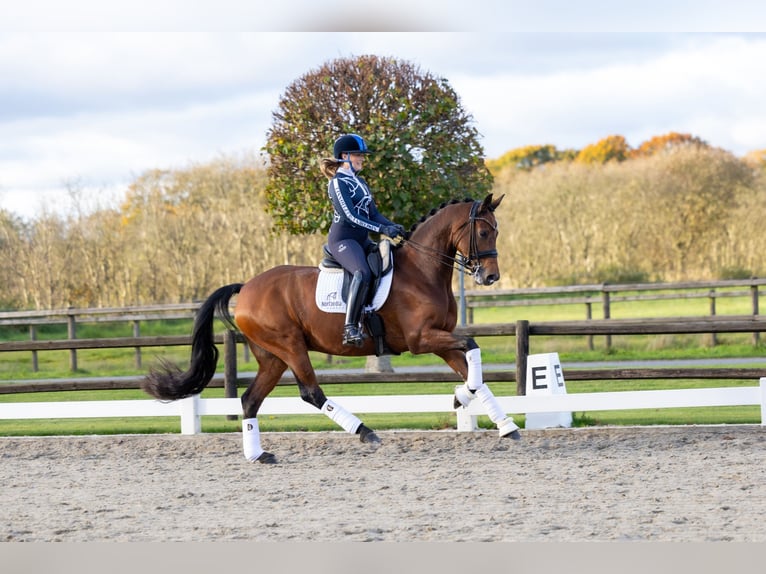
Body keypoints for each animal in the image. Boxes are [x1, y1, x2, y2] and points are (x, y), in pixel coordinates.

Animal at [141, 193, 520, 463]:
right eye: (483, 231)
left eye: (497, 230)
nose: (490, 277)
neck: (422, 271)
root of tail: (246, 287)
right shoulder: (421, 339)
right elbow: (472, 345)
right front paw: (462, 400)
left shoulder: (440, 341)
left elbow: (475, 373)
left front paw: (500, 422)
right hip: (291, 346)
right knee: (311, 393)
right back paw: (365, 431)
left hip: (273, 357)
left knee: (250, 400)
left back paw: (258, 455)